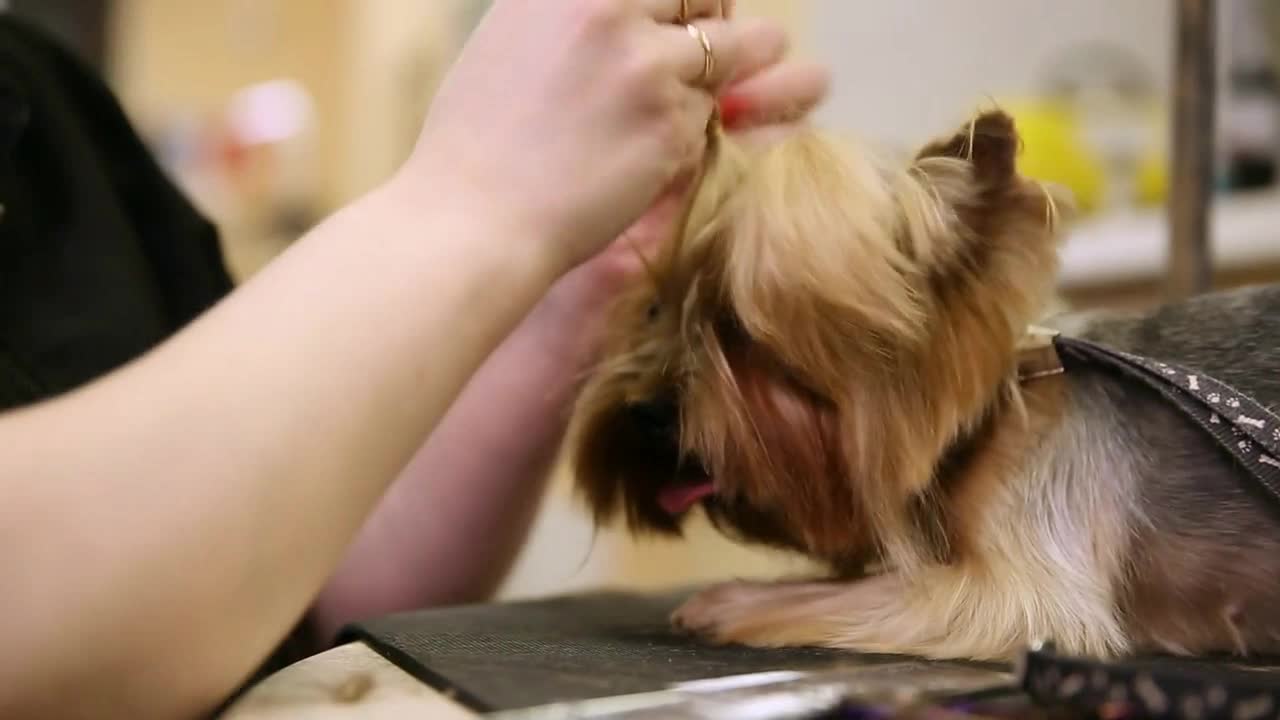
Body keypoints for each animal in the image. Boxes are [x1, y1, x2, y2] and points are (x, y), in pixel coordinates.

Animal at [565, 109, 1280, 661]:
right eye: (655, 308)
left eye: (739, 329)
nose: (644, 412)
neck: (988, 425)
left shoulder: (1024, 592)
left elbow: (866, 591)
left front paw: (734, 600)